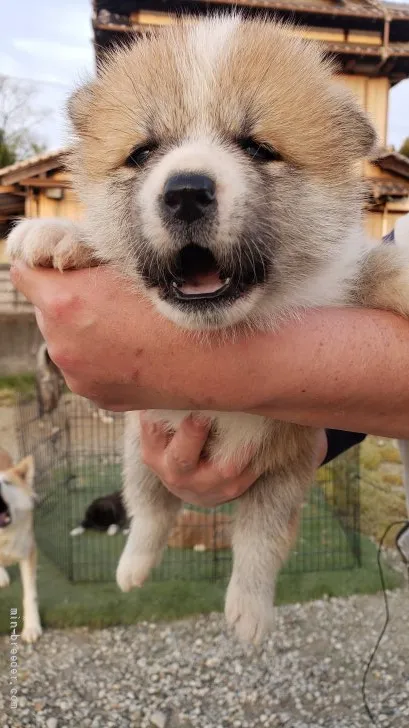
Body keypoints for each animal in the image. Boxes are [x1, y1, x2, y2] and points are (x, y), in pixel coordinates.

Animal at [5, 15, 408, 644]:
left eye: (258, 147)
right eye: (143, 152)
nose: (186, 190)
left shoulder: (339, 290)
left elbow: (379, 266)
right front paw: (56, 236)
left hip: (281, 470)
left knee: (259, 538)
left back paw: (247, 608)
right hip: (142, 451)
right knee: (151, 511)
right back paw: (132, 569)